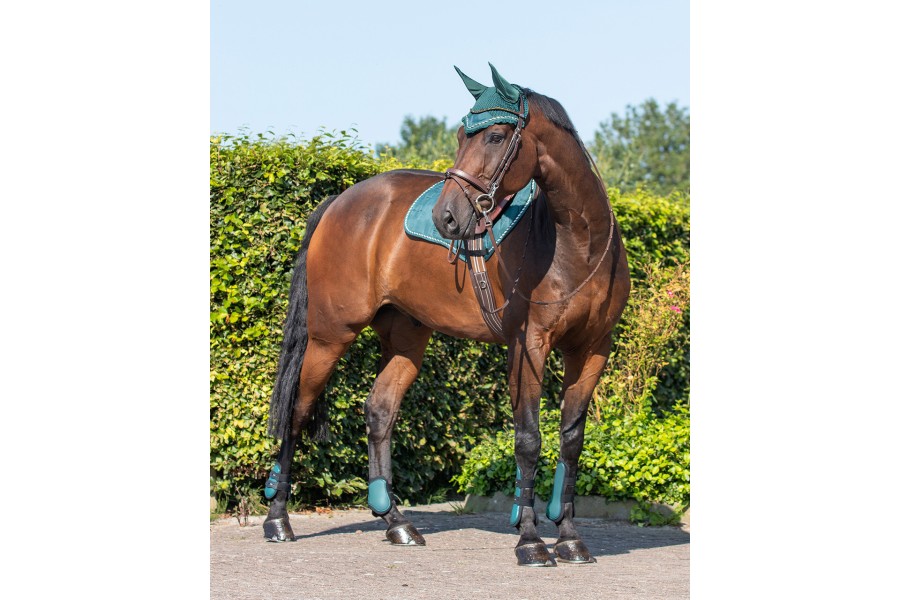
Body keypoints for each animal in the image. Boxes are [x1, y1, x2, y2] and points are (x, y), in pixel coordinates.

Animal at [262, 63, 630, 567]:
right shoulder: (528, 346)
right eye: (460, 134)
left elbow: (571, 441)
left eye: (495, 135)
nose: (447, 218)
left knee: (379, 411)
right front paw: (531, 541)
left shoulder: (592, 349)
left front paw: (571, 538)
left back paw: (397, 523)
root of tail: (339, 202)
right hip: (329, 336)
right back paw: (278, 519)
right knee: (297, 412)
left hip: (405, 338)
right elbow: (528, 439)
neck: (577, 243)